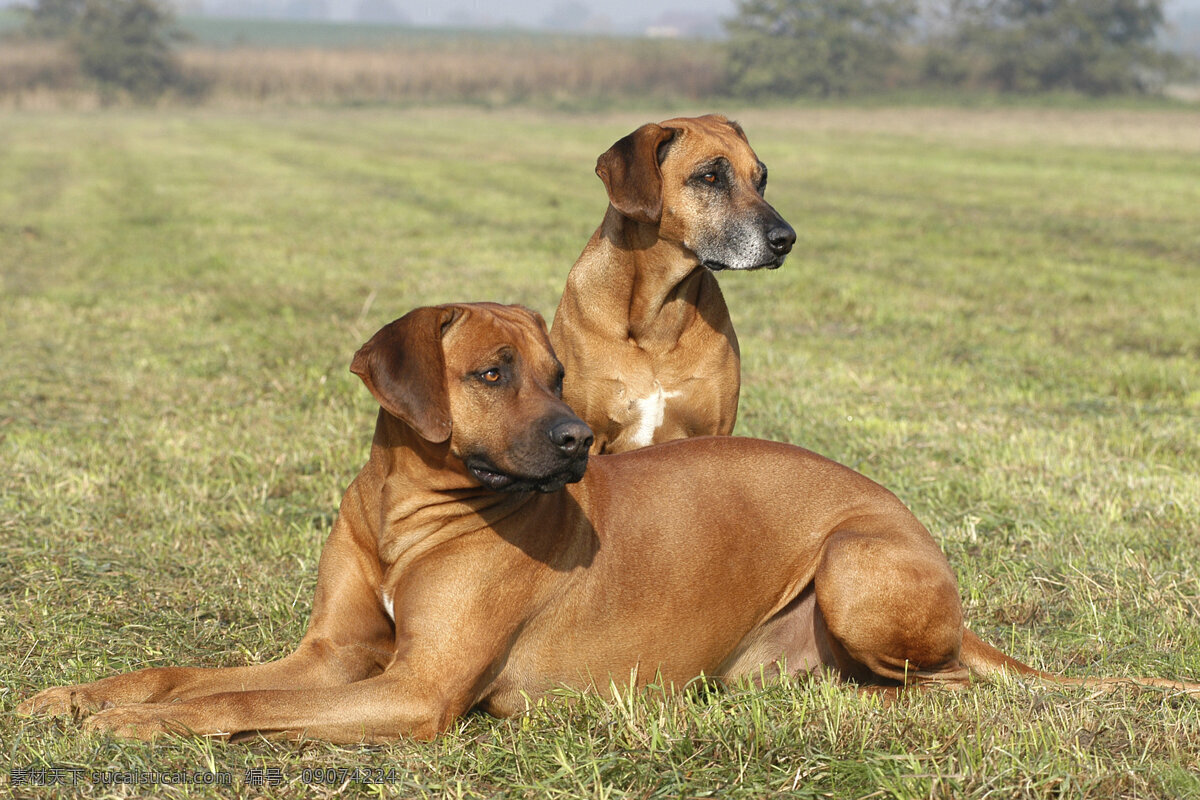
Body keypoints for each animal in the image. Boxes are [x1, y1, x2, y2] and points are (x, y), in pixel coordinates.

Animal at [21, 303, 1200, 743]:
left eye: (557, 373)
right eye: (491, 372)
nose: (578, 441)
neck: (412, 512)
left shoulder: (413, 690)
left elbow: (238, 698)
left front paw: (139, 726)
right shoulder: (335, 654)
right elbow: (190, 672)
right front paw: (82, 695)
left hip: (859, 560)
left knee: (944, 682)